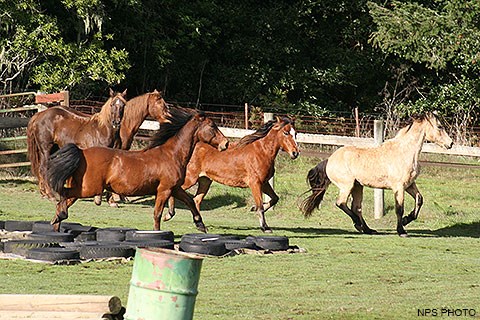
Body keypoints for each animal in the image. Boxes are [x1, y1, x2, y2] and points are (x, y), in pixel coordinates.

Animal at [46, 107, 230, 232]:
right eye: (212, 126)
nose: (226, 143)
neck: (172, 155)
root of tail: (82, 152)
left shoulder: (175, 188)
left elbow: (190, 201)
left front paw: (200, 225)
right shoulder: (164, 190)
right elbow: (157, 214)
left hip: (84, 187)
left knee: (66, 199)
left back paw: (56, 224)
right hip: (89, 188)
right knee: (65, 196)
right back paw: (59, 217)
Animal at [167, 116, 298, 231]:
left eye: (295, 133)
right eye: (286, 133)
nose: (295, 153)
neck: (262, 152)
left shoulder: (264, 183)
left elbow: (275, 198)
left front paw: (253, 208)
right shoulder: (255, 183)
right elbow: (260, 205)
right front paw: (265, 227)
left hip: (205, 181)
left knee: (196, 200)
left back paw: (199, 224)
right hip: (190, 178)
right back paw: (169, 214)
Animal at [300, 111, 454, 236]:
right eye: (440, 126)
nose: (451, 143)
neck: (404, 152)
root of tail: (329, 160)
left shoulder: (409, 185)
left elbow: (419, 199)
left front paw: (406, 220)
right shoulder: (399, 187)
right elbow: (399, 208)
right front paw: (401, 231)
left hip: (357, 186)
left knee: (356, 207)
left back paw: (368, 229)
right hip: (347, 186)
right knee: (341, 203)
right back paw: (358, 224)